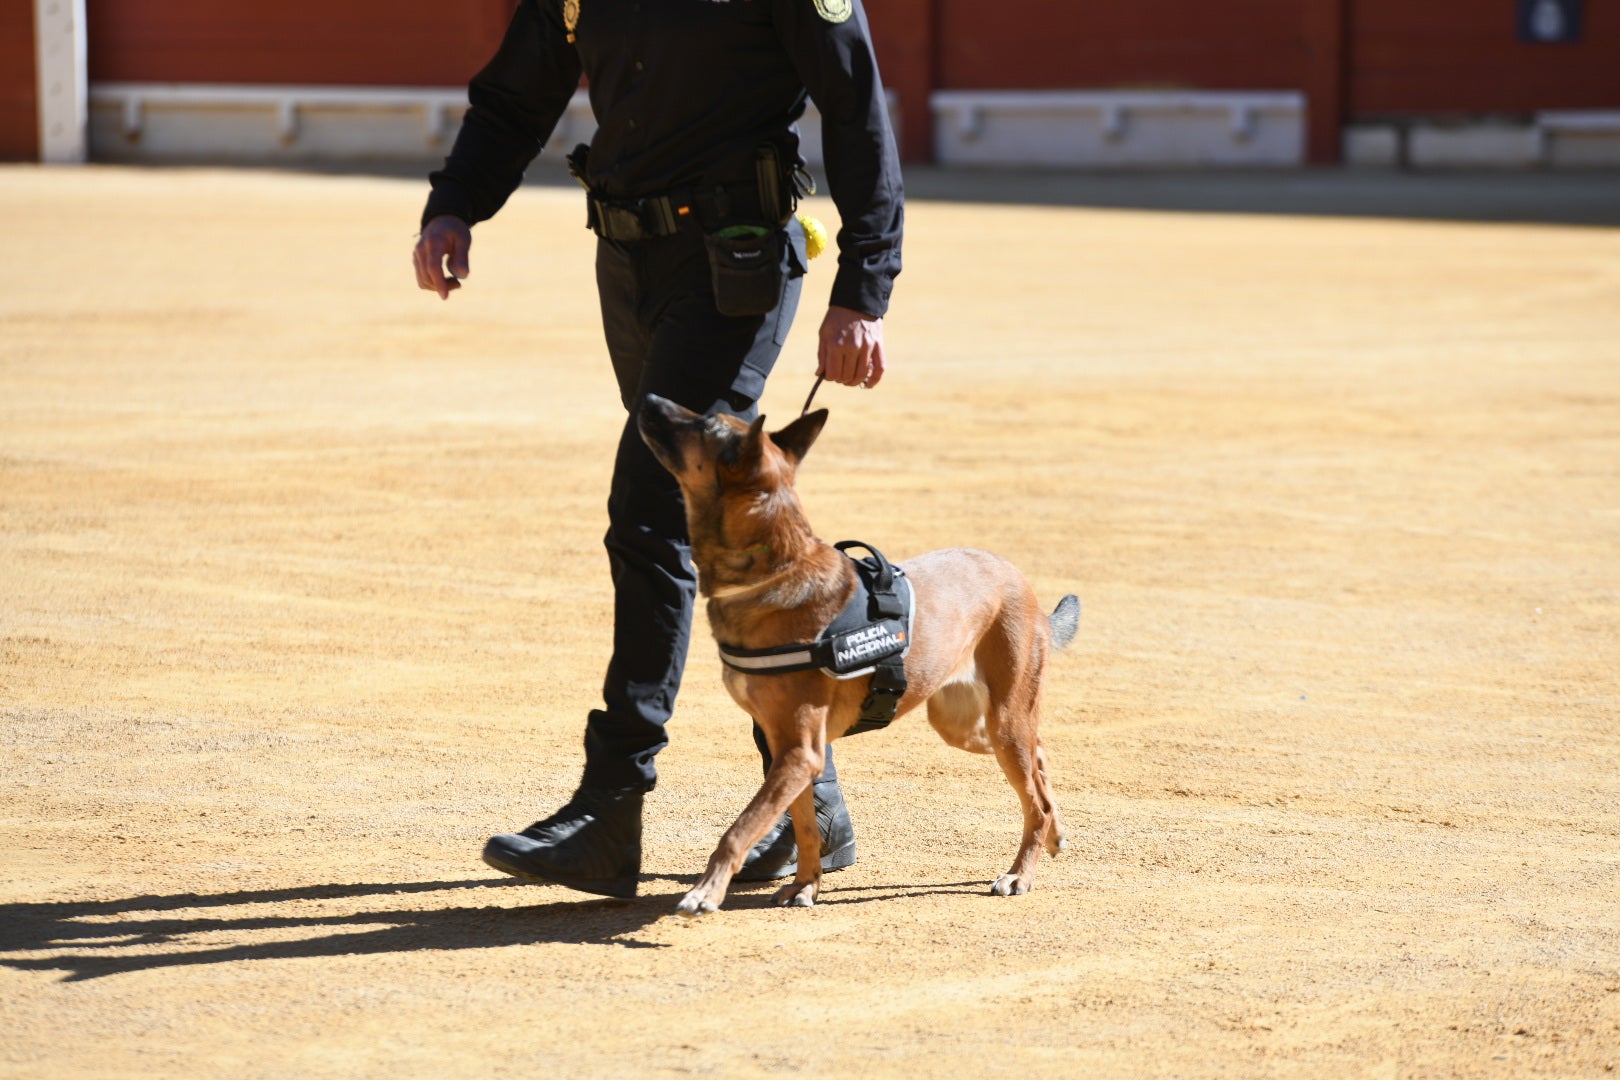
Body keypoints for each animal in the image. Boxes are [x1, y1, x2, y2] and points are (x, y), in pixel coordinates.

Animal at [638, 393, 1082, 919]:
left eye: (706, 424)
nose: (650, 398)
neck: (775, 569)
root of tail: (1021, 582)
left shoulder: (799, 752)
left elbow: (740, 828)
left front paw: (707, 891)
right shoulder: (790, 752)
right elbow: (805, 828)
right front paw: (806, 885)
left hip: (1004, 722)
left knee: (1034, 795)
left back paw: (1021, 872)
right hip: (966, 726)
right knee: (1040, 757)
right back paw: (1053, 833)